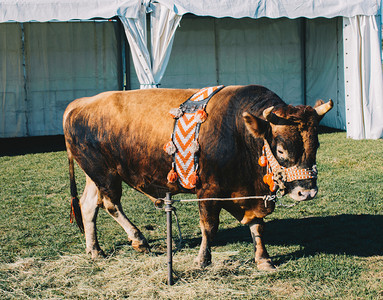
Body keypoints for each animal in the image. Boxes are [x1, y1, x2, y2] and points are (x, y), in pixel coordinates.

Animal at [63, 84, 332, 270]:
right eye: (281, 150)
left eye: (316, 145)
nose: (307, 191)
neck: (238, 132)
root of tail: (80, 103)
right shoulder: (208, 191)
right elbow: (209, 227)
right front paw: (203, 260)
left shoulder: (249, 195)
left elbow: (257, 226)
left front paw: (263, 259)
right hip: (105, 173)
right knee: (111, 204)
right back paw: (138, 240)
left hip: (94, 175)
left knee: (88, 206)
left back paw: (95, 250)